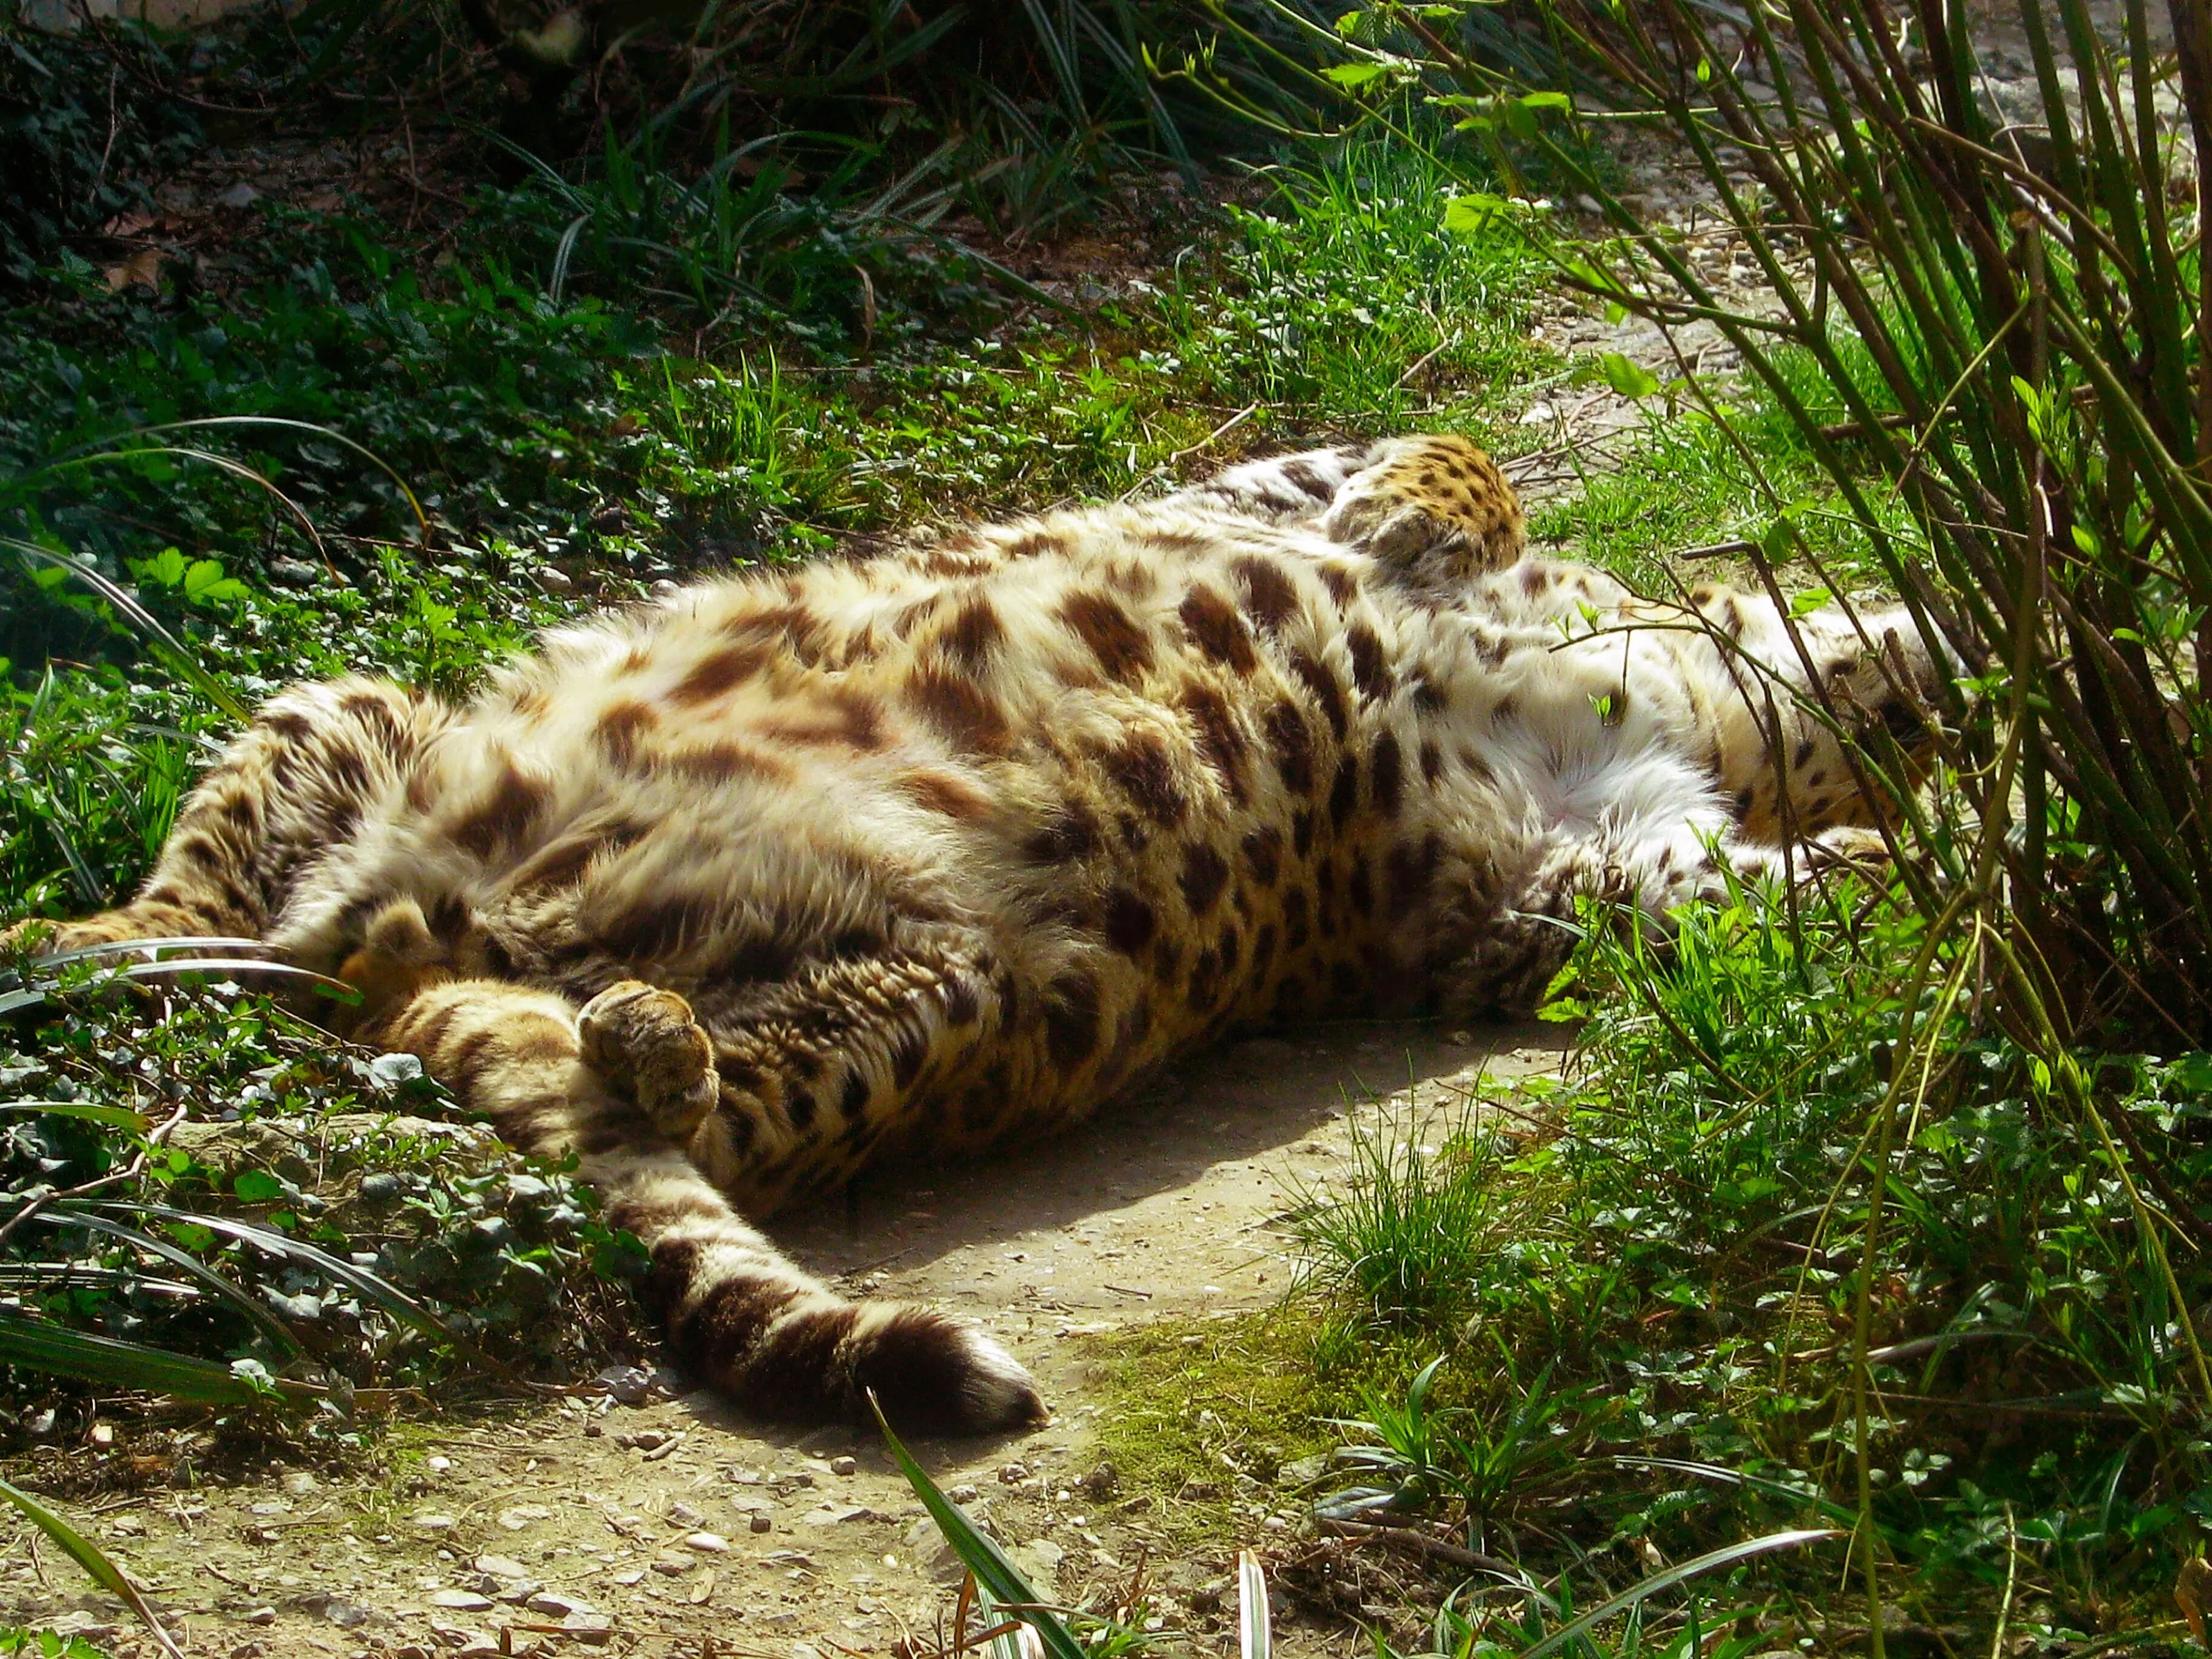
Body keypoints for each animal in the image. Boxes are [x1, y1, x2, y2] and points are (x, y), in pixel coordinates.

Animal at [2, 434, 1950, 1436]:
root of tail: (402, 933)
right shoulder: (1268, 479)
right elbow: (1447, 462)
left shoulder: (1562, 880)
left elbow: (1739, 889)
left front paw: (1899, 848)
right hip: (347, 707)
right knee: (198, 906)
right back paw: (73, 939)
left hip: (975, 985)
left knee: (609, 1082)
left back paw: (634, 1036)